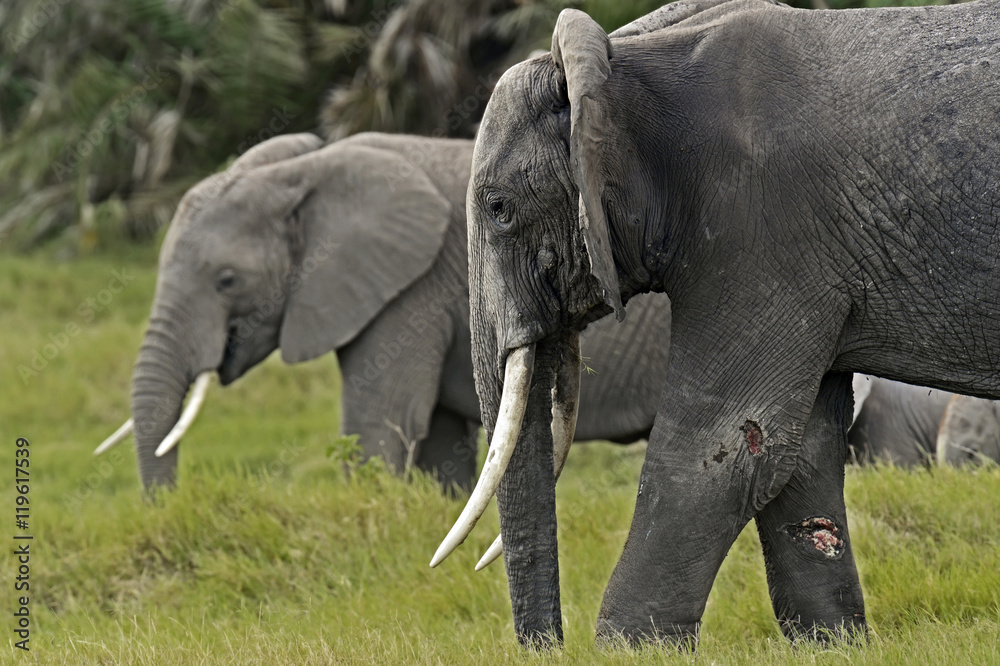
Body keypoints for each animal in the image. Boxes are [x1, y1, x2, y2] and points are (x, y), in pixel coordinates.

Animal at [98, 131, 672, 494]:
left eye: (226, 281)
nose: (169, 507)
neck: (304, 171)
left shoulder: (412, 292)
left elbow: (379, 421)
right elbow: (439, 441)